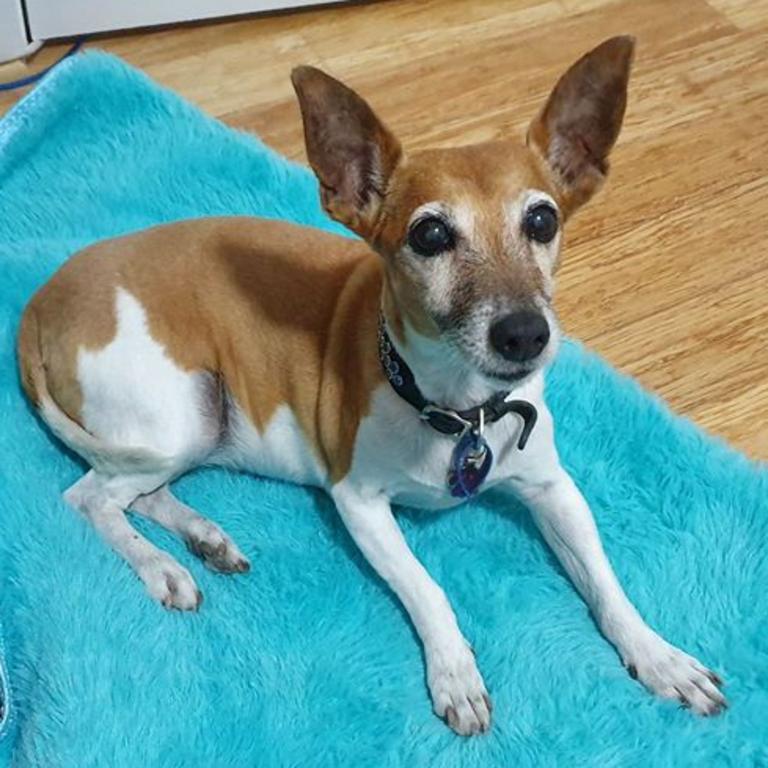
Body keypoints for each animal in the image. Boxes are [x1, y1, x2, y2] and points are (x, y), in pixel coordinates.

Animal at [16, 36, 728, 732]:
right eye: (431, 233)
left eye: (542, 221)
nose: (525, 334)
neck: (458, 409)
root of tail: (44, 300)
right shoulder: (357, 503)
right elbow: (427, 588)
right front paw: (455, 673)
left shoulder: (555, 490)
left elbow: (607, 586)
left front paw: (658, 657)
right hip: (178, 418)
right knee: (91, 498)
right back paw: (163, 567)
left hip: (196, 425)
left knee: (138, 492)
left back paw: (202, 537)